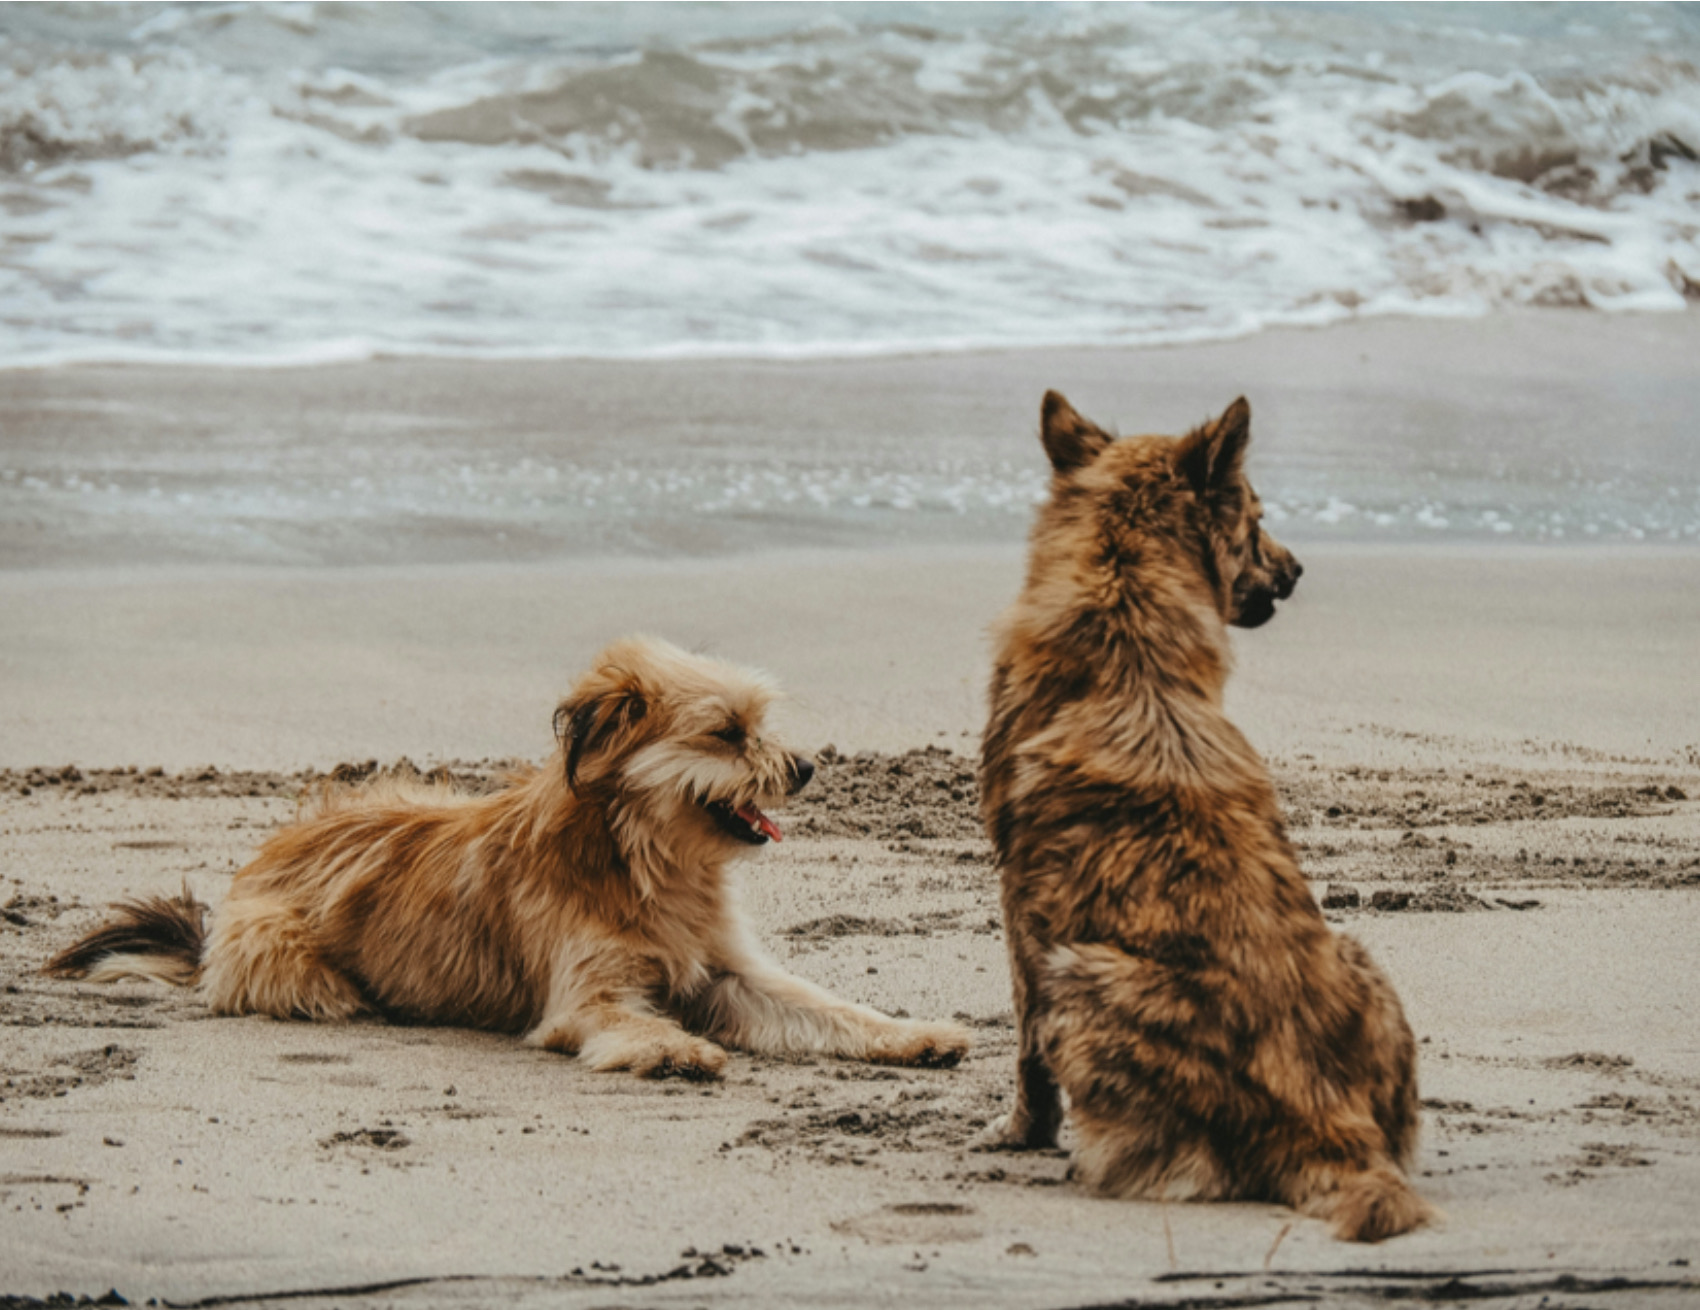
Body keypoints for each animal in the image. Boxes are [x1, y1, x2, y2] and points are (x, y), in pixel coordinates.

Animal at [46, 638, 972, 1080]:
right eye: (727, 733)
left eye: (760, 725)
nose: (808, 767)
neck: (641, 859)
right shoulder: (589, 996)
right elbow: (628, 1020)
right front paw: (673, 1048)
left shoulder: (730, 974)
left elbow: (830, 1009)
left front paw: (914, 1035)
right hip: (288, 957)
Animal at [979, 394, 1428, 1243]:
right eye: (1258, 517)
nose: (1297, 569)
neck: (1124, 601)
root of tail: (1324, 1122)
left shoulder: (1019, 906)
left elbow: (1024, 1050)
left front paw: (1020, 1132)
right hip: (1362, 957)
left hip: (1079, 976)